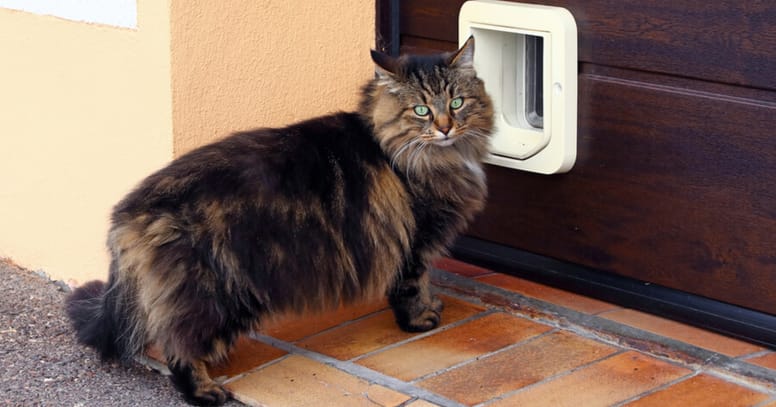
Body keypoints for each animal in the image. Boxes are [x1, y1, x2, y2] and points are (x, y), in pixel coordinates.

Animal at [66, 36, 492, 406]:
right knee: (179, 347)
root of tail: (128, 210)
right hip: (217, 292)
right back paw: (206, 391)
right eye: (421, 110)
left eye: (457, 102)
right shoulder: (416, 242)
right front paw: (421, 319)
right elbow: (413, 286)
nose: (445, 127)